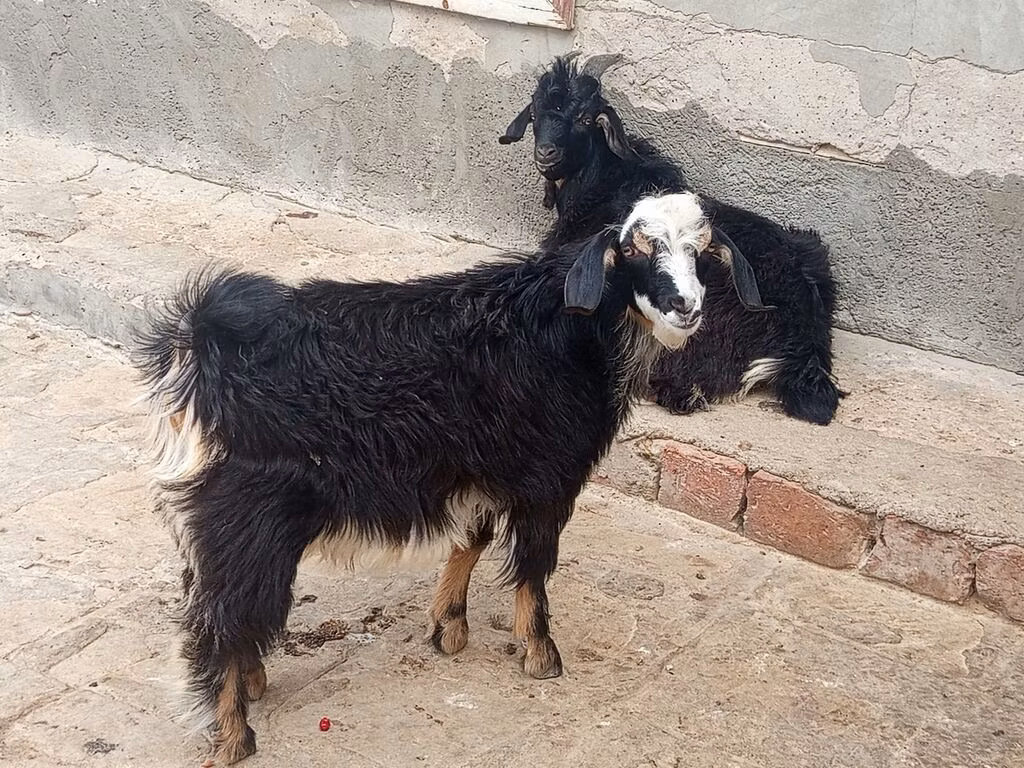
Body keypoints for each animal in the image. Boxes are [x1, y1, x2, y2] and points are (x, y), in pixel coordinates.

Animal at [136, 191, 766, 765]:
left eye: (701, 252)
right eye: (636, 248)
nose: (685, 305)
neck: (564, 330)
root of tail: (202, 350)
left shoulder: (483, 468)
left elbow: (473, 537)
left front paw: (448, 627)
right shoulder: (548, 478)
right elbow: (533, 563)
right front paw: (540, 653)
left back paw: (251, 683)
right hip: (248, 518)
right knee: (221, 618)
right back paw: (232, 738)